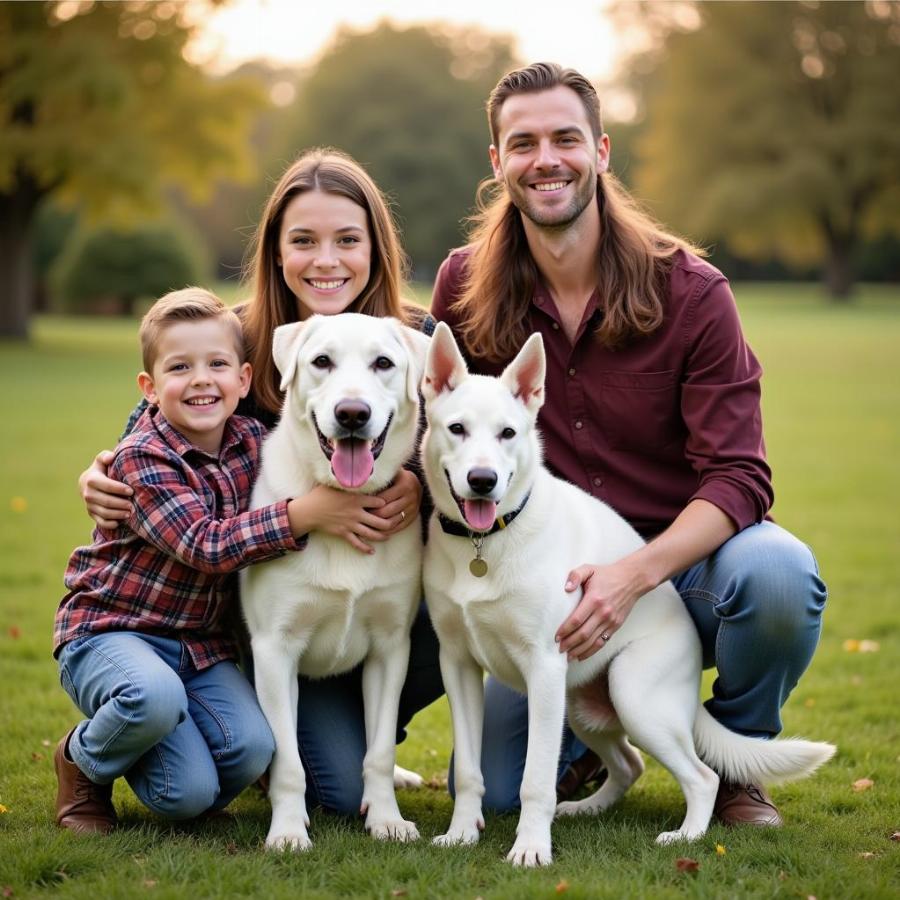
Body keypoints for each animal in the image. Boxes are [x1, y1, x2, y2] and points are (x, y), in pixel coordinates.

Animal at [243, 314, 428, 852]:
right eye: (321, 361)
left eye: (383, 363)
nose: (351, 414)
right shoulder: (274, 649)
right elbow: (287, 761)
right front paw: (287, 830)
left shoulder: (391, 647)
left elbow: (380, 749)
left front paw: (386, 819)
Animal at [422, 324, 836, 864]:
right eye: (457, 429)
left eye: (508, 433)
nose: (482, 481)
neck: (485, 543)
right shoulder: (459, 666)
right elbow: (472, 771)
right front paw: (461, 835)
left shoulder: (544, 667)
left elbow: (535, 779)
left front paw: (531, 848)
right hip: (582, 708)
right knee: (628, 764)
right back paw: (585, 809)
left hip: (631, 695)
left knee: (700, 776)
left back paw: (686, 836)